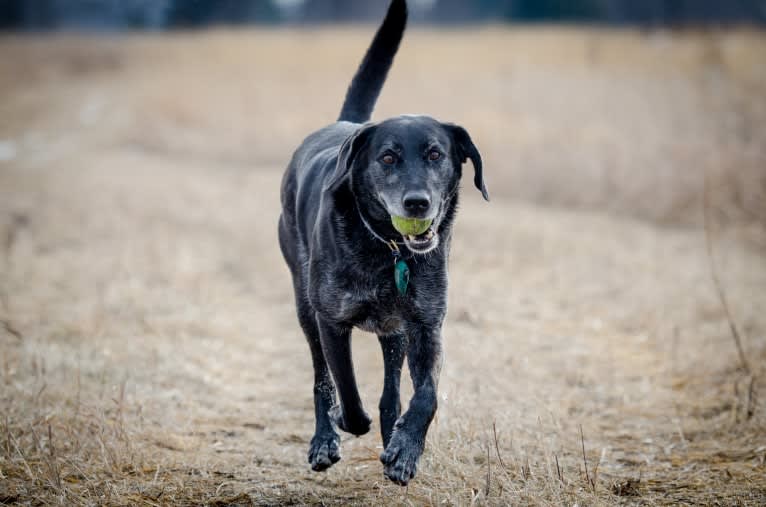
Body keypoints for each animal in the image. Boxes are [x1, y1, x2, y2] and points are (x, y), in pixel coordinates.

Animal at [280, 0, 488, 486]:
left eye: (436, 153)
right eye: (388, 157)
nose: (417, 203)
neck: (390, 250)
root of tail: (348, 124)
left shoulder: (426, 326)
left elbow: (426, 396)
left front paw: (405, 451)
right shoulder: (331, 321)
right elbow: (346, 389)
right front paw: (343, 425)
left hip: (395, 332)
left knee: (392, 389)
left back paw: (393, 431)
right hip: (304, 306)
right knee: (321, 378)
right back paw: (324, 438)